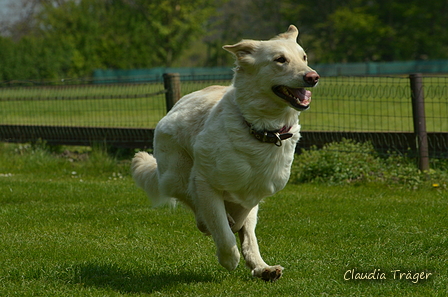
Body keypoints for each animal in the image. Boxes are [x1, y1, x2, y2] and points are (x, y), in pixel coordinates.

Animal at [131, 24, 320, 280]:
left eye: (304, 57)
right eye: (280, 59)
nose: (313, 77)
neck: (261, 129)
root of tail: (179, 103)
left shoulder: (255, 192)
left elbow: (241, 226)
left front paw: (249, 255)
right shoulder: (204, 182)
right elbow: (220, 225)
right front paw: (229, 256)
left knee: (247, 232)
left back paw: (263, 268)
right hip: (176, 174)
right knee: (194, 204)